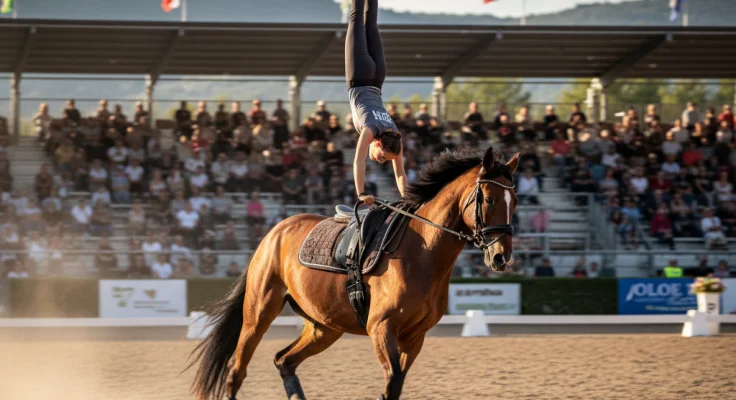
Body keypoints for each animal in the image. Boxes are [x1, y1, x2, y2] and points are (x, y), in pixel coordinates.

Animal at [190, 147, 519, 400]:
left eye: (514, 202)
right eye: (489, 199)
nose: (501, 257)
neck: (421, 251)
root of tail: (275, 232)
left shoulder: (415, 336)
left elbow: (397, 384)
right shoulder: (381, 327)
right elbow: (392, 382)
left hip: (324, 327)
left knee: (284, 361)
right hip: (258, 315)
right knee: (236, 370)